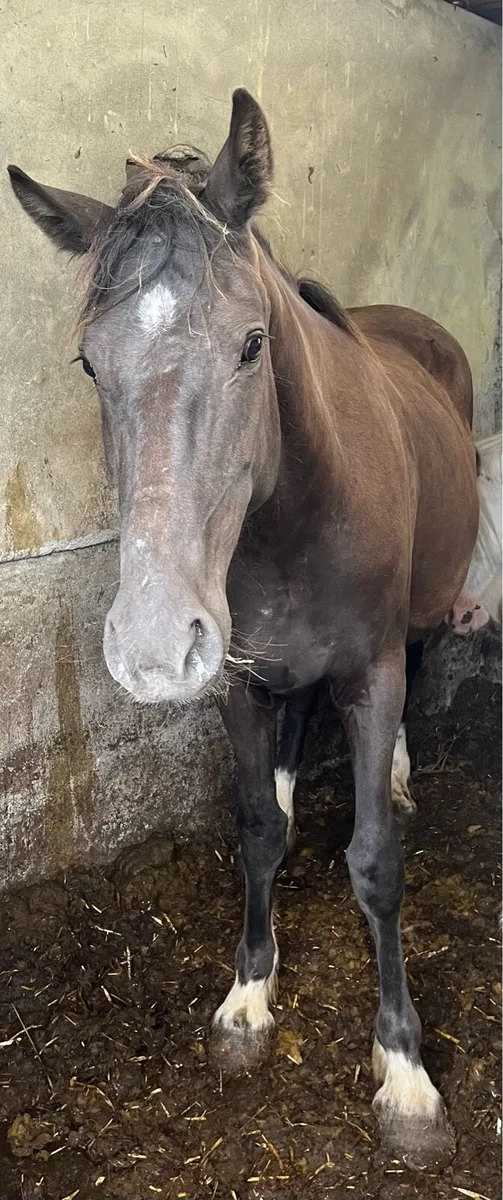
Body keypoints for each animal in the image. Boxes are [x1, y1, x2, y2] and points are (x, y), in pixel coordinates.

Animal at [8, 88, 479, 1170]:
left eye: (253, 343)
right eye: (87, 362)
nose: (148, 649)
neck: (290, 520)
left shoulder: (370, 674)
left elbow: (374, 862)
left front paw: (404, 1076)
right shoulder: (235, 679)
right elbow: (259, 830)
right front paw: (246, 1001)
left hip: (418, 617)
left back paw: (397, 772)